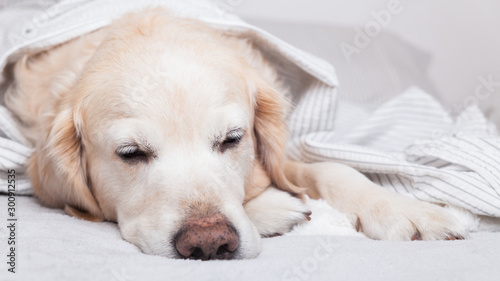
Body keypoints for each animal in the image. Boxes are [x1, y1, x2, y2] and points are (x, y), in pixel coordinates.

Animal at [2, 8, 464, 258]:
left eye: (232, 139)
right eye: (130, 153)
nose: (209, 244)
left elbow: (331, 169)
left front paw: (403, 209)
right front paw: (274, 207)